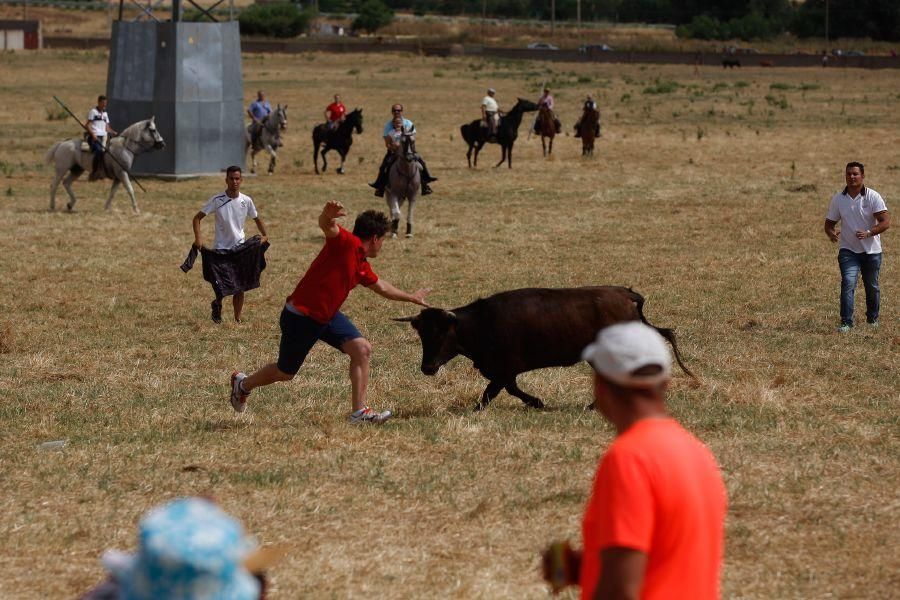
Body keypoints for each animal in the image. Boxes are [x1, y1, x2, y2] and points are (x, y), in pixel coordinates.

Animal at [394, 288, 696, 410]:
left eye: (441, 332)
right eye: (422, 334)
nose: (427, 367)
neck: (481, 323)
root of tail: (625, 293)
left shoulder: (503, 370)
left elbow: (495, 391)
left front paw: (536, 402)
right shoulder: (502, 372)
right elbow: (503, 390)